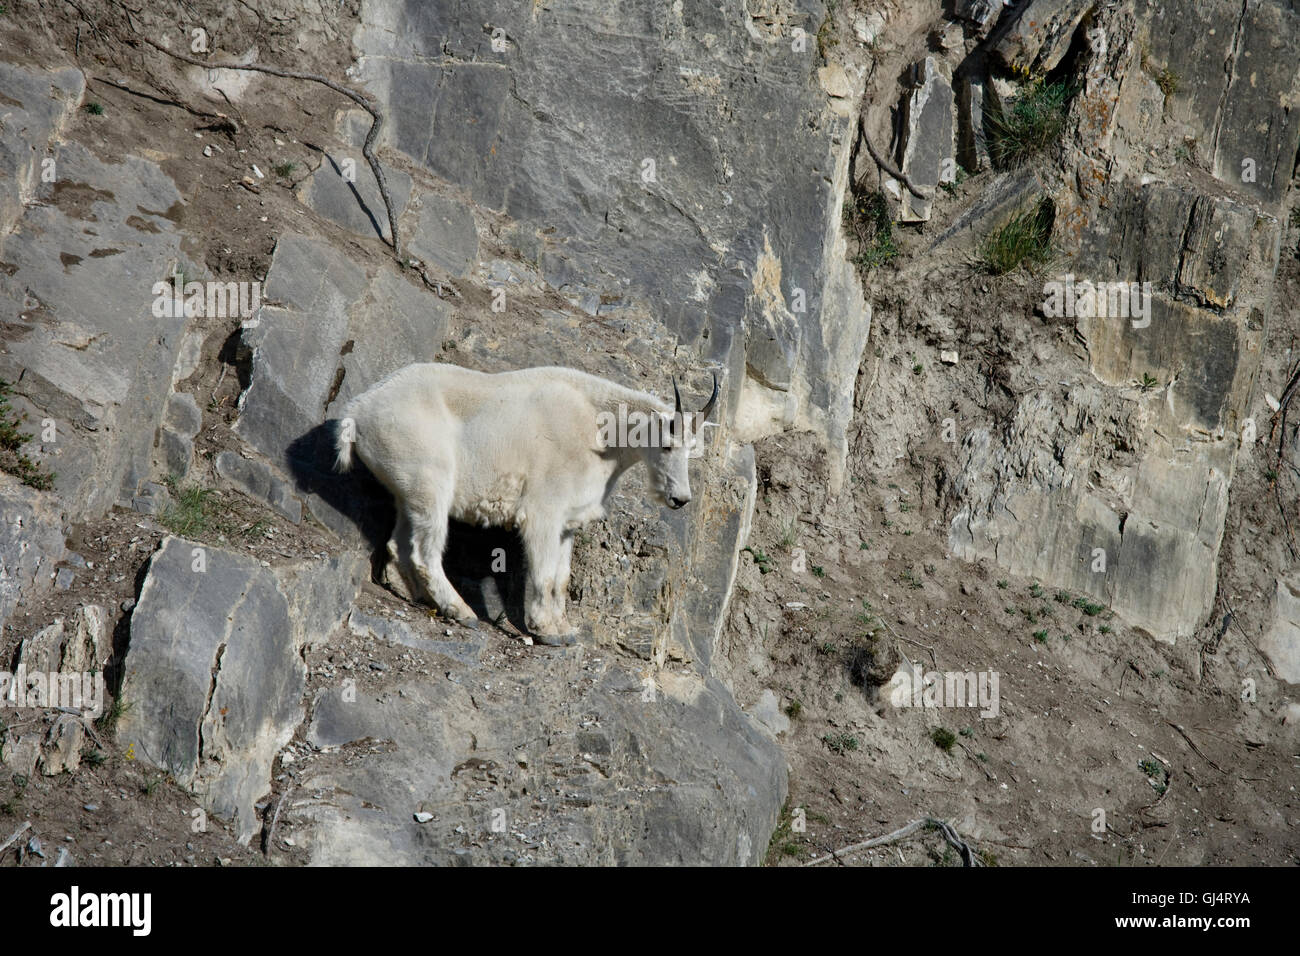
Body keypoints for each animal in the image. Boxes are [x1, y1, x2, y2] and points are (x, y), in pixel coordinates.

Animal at [334, 363, 717, 644]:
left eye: (692, 448)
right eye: (667, 444)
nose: (680, 499)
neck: (599, 432)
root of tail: (356, 412)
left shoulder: (567, 522)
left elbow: (561, 577)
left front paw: (564, 629)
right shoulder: (543, 512)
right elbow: (544, 574)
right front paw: (545, 631)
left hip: (408, 489)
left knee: (399, 542)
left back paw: (417, 595)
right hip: (431, 481)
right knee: (425, 551)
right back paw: (461, 611)